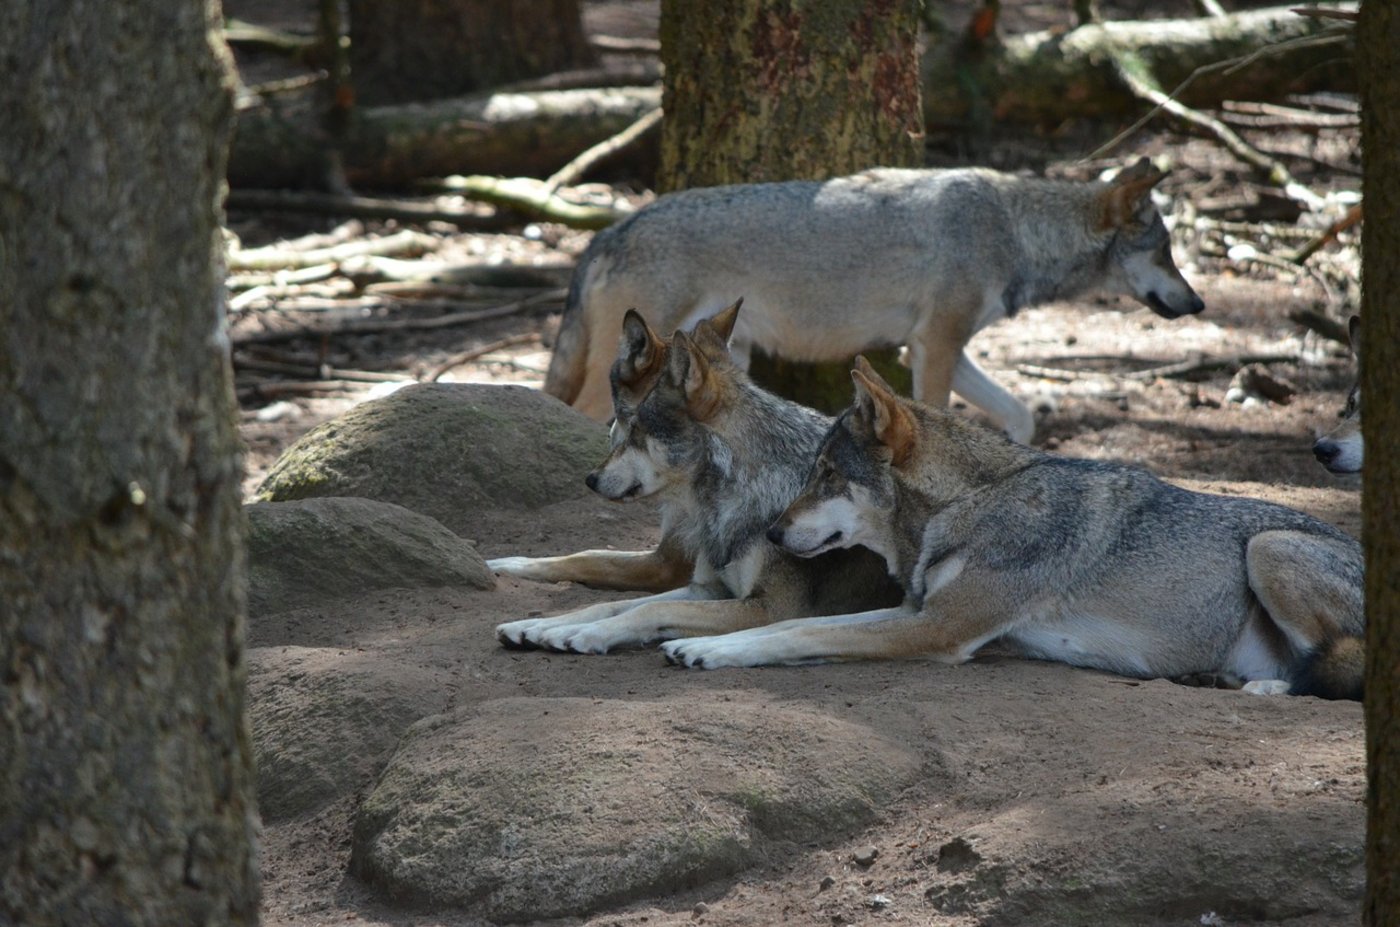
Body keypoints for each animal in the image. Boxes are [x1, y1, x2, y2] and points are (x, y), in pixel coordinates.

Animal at [495, 304, 902, 654]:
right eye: (628, 424)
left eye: (637, 429)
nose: (591, 479)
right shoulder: (706, 588)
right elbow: (613, 601)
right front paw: (542, 626)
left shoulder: (769, 608)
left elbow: (646, 607)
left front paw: (585, 636)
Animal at [545, 158, 1204, 444]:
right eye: (1167, 250)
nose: (1198, 304)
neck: (1013, 229)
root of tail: (610, 230)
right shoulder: (938, 345)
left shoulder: (927, 348)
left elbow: (1021, 415)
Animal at [661, 358, 1365, 701]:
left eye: (829, 474)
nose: (773, 535)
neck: (968, 503)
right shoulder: (915, 611)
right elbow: (782, 625)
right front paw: (703, 642)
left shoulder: (937, 629)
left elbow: (796, 632)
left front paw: (711, 651)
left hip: (1268, 547)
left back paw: (1268, 686)